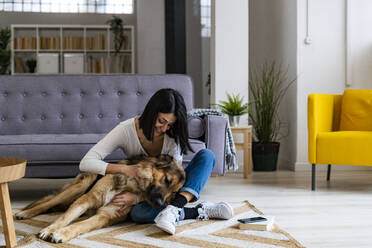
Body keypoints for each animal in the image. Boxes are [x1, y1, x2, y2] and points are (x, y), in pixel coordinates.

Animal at [14, 155, 186, 242]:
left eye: (173, 194)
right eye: (167, 180)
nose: (160, 204)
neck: (132, 185)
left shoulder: (105, 216)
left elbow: (81, 225)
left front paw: (61, 234)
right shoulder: (87, 198)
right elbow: (64, 218)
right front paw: (50, 229)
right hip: (80, 186)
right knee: (47, 203)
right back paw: (25, 213)